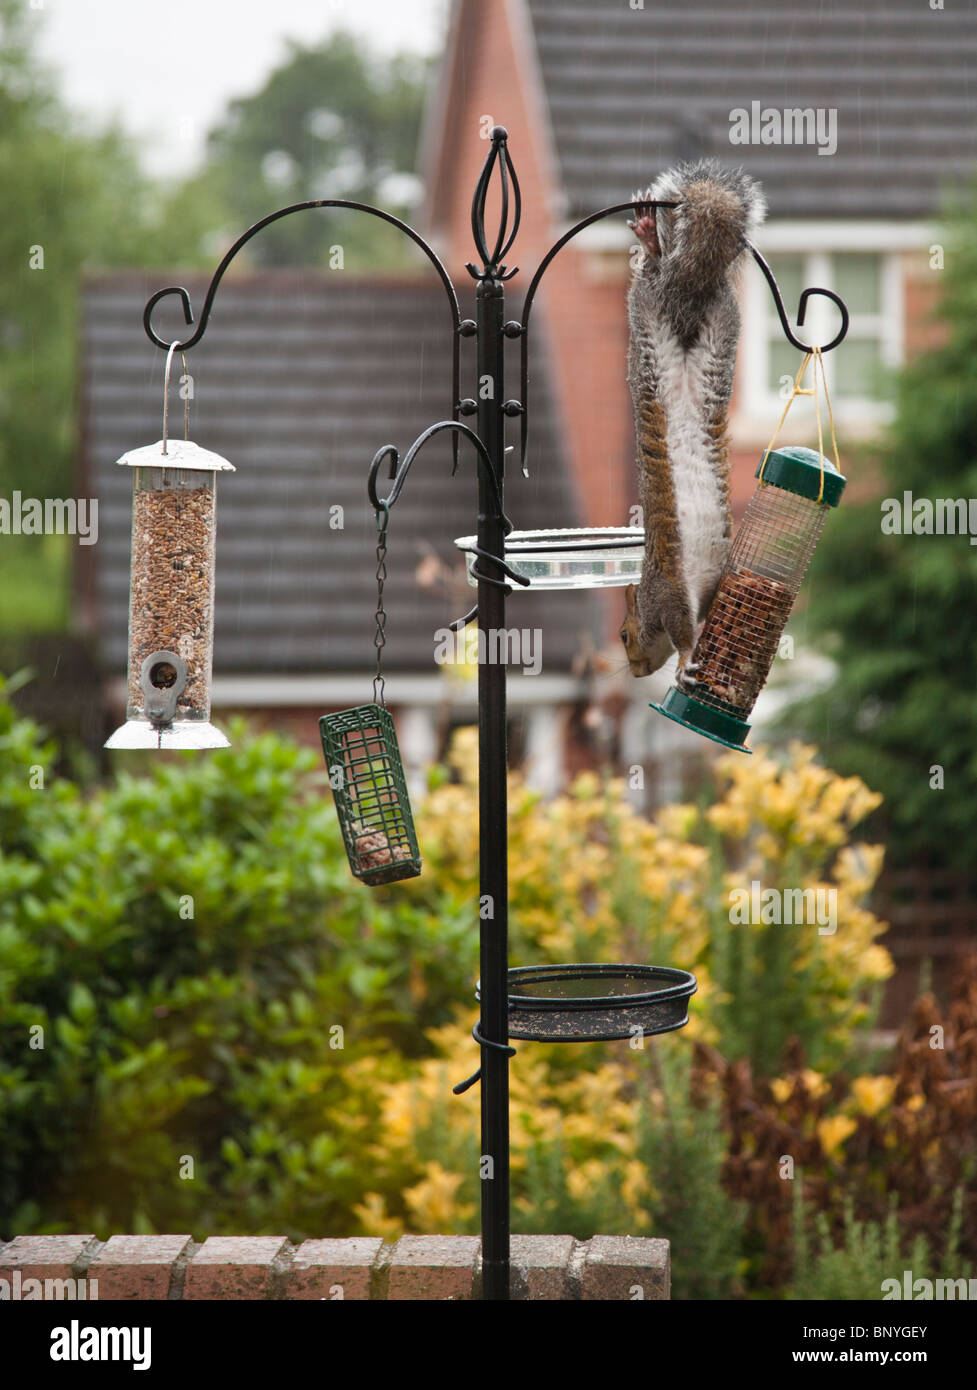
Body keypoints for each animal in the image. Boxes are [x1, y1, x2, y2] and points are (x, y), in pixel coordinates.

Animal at [620, 160, 766, 679]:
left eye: (624, 635)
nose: (636, 670)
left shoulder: (669, 597)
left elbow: (685, 634)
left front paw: (685, 662)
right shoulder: (685, 596)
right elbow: (695, 627)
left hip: (650, 314)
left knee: (654, 274)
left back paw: (650, 242)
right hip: (719, 324)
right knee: (703, 289)